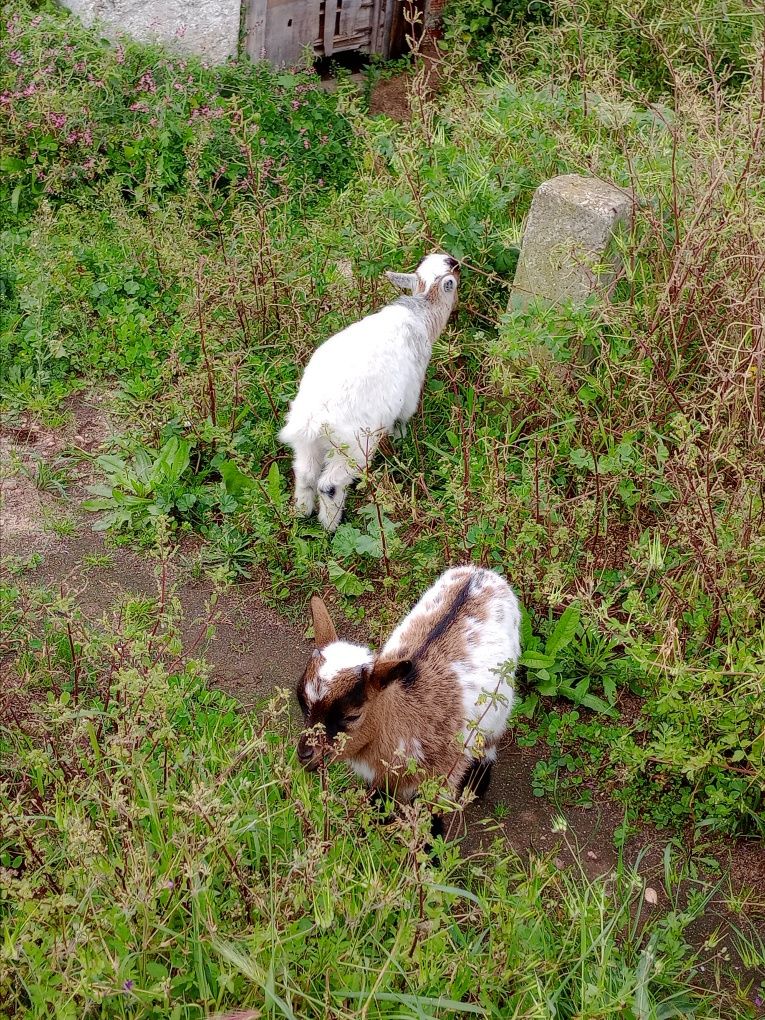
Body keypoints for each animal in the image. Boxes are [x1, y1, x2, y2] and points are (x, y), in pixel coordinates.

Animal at [281, 250, 461, 530]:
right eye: (456, 269)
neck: (421, 310)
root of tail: (313, 420)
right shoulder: (412, 386)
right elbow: (404, 416)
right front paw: (401, 438)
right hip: (353, 446)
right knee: (329, 484)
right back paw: (331, 525)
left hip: (307, 444)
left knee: (305, 472)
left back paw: (301, 513)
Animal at [293, 563, 522, 816]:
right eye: (303, 704)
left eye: (352, 715)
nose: (305, 756)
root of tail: (481, 572)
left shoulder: (438, 782)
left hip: (497, 714)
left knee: (488, 747)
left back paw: (477, 787)